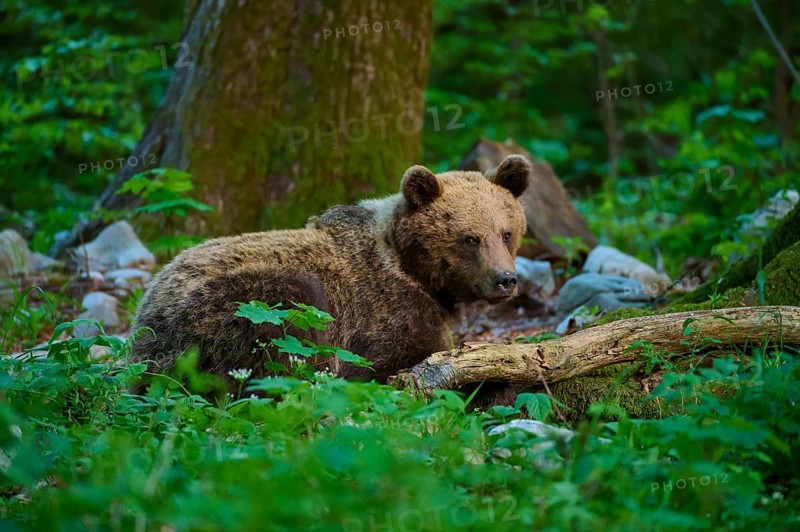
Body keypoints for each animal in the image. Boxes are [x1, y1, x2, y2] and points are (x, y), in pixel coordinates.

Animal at [131, 155, 532, 388]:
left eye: (506, 232)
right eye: (470, 238)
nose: (506, 280)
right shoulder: (382, 313)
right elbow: (395, 359)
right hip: (241, 306)